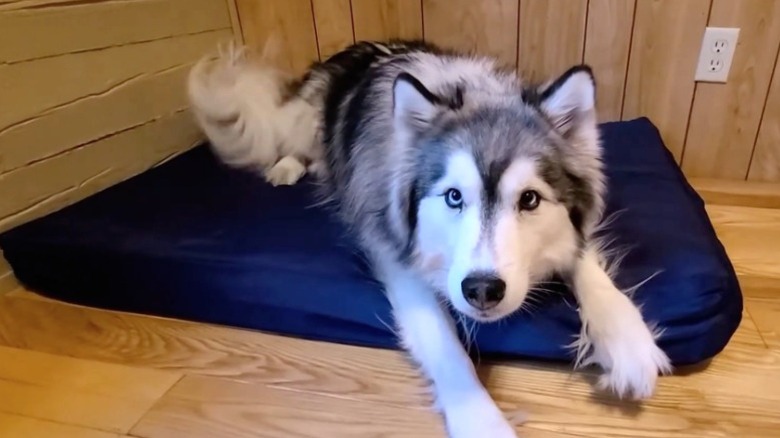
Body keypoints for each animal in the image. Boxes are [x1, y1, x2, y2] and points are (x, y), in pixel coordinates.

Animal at [187, 39, 672, 436]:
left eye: (530, 199)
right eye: (454, 196)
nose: (482, 290)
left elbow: (585, 263)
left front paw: (627, 339)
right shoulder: (399, 262)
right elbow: (447, 348)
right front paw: (483, 423)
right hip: (302, 123)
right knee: (294, 145)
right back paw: (287, 167)